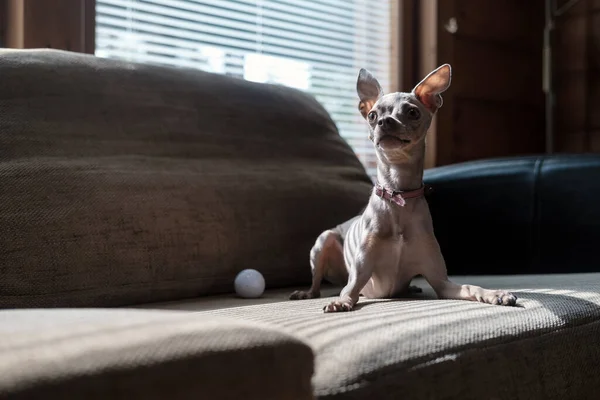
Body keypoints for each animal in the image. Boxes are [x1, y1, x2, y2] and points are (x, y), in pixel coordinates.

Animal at [290, 63, 516, 312]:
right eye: (372, 115)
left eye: (413, 112)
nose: (385, 121)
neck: (398, 193)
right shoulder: (361, 276)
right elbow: (349, 291)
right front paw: (340, 301)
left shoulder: (442, 283)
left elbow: (470, 287)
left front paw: (495, 294)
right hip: (324, 241)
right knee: (317, 282)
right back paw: (307, 293)